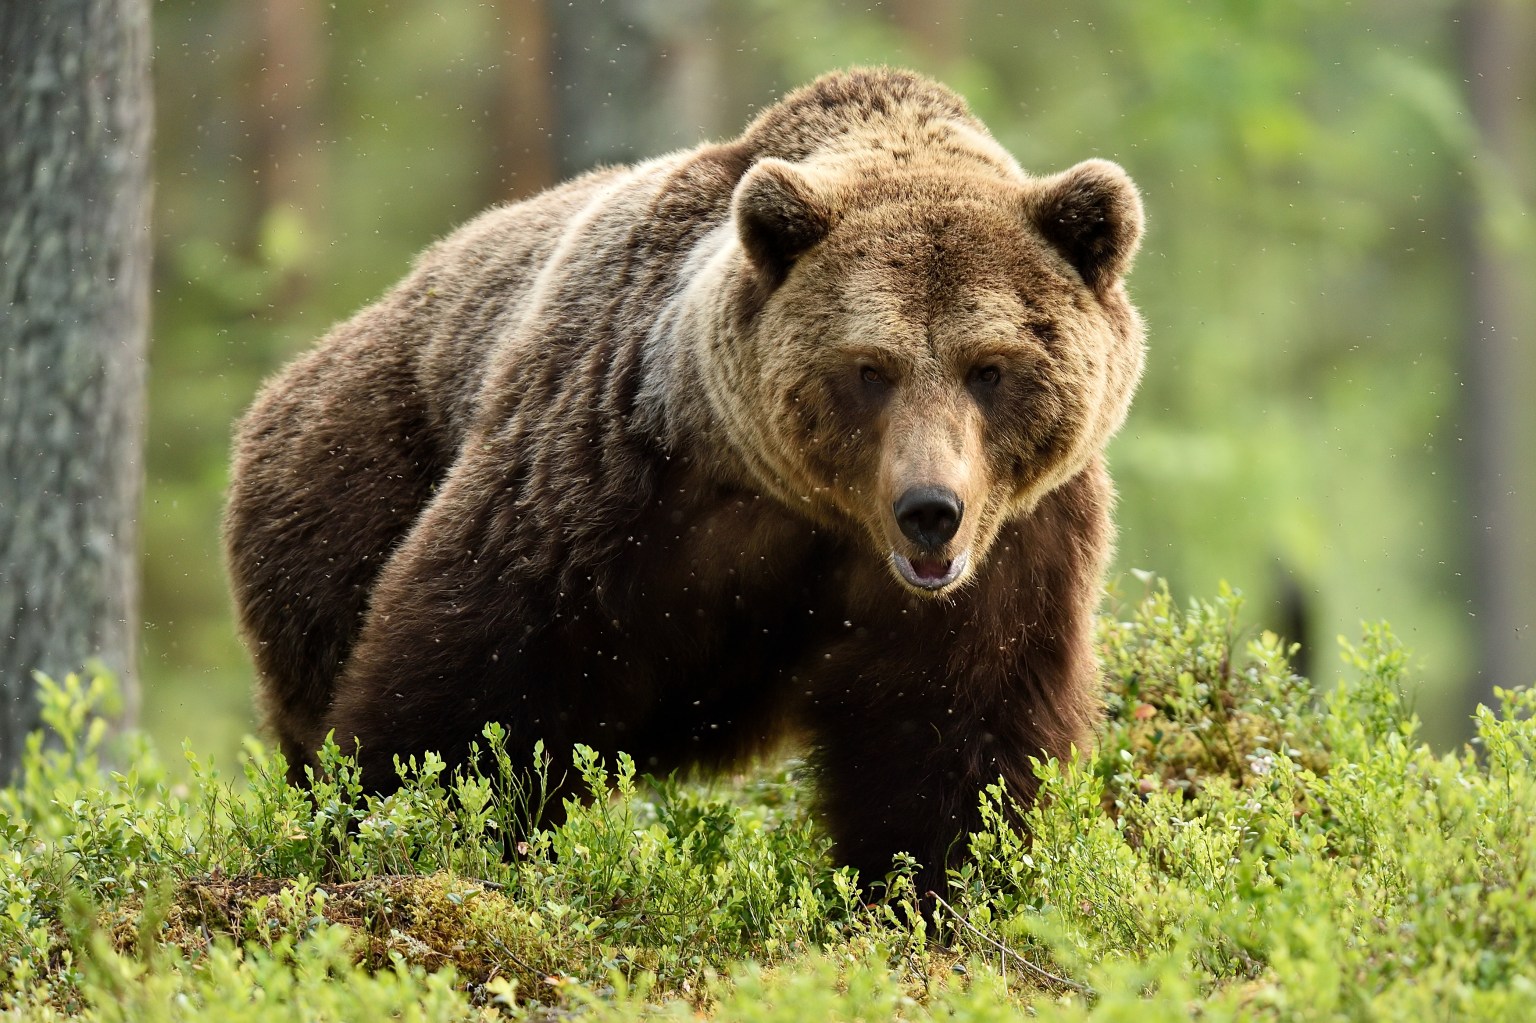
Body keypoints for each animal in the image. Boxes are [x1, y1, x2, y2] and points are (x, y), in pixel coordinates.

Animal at [224, 65, 1142, 890]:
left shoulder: (1011, 550)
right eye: (869, 368)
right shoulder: (606, 470)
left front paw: (930, 885)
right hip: (348, 475)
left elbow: (953, 737)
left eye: (990, 367)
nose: (930, 510)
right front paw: (413, 820)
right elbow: (472, 676)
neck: (807, 508)